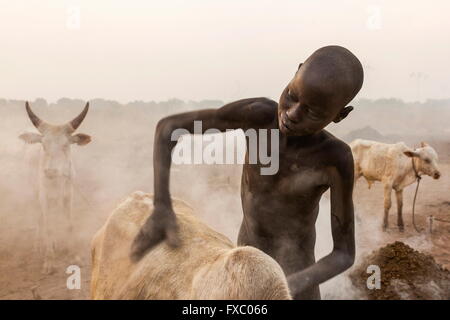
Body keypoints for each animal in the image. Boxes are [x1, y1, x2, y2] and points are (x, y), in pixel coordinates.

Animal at [19, 101, 92, 274]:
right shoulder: (44, 197)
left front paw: (74, 256)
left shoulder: (68, 196)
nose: (50, 171)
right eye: (44, 145)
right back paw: (39, 244)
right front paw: (49, 261)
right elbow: (48, 227)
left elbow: (69, 225)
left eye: (66, 145)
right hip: (34, 193)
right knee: (40, 218)